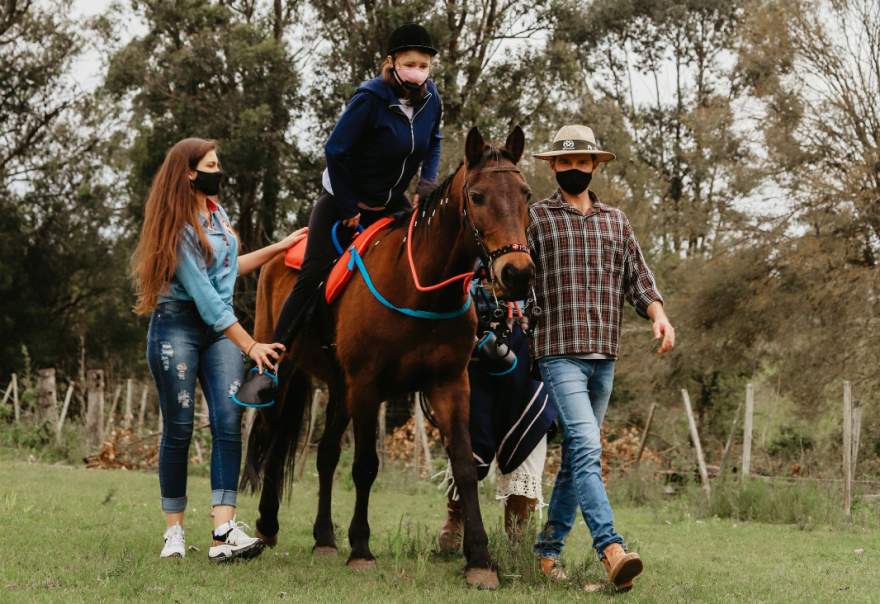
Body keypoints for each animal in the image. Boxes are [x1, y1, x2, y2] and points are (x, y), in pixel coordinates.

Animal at [237, 125, 532, 588]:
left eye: (526, 194)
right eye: (478, 195)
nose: (517, 273)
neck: (419, 285)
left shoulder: (449, 385)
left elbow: (464, 468)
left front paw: (480, 560)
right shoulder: (366, 385)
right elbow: (365, 466)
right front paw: (361, 548)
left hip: (338, 388)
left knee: (324, 456)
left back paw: (324, 539)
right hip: (288, 368)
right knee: (275, 434)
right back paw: (268, 526)